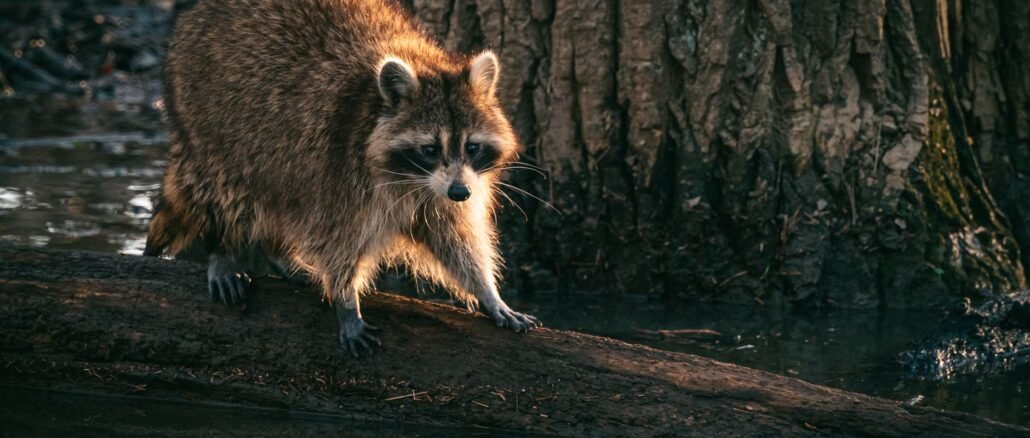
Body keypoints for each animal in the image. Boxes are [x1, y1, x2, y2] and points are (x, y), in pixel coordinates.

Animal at [144, 0, 540, 355]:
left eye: (472, 146)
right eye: (429, 148)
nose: (460, 193)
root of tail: (198, 13)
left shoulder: (444, 189)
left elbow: (456, 238)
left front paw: (487, 292)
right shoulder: (340, 168)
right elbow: (338, 238)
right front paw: (346, 300)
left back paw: (278, 253)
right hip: (208, 116)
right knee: (227, 189)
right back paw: (222, 248)